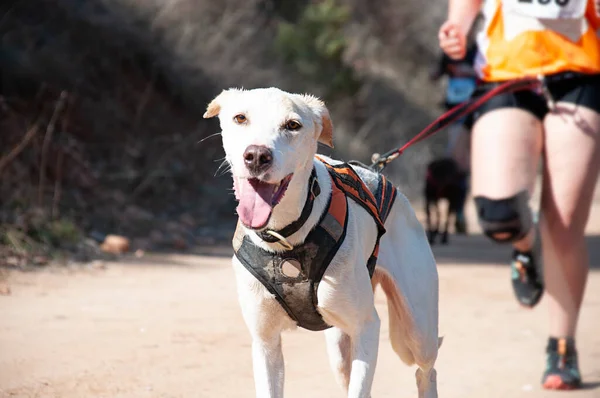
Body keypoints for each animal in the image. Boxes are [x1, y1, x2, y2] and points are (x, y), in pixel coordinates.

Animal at [205, 88, 440, 398]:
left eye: (293, 125)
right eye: (240, 118)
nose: (256, 156)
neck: (286, 238)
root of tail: (386, 181)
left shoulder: (367, 327)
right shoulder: (266, 341)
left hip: (419, 332)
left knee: (426, 370)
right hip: (339, 349)